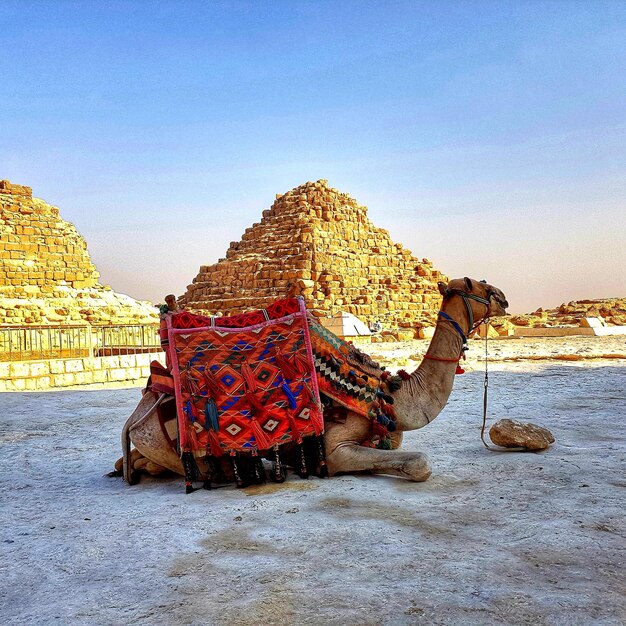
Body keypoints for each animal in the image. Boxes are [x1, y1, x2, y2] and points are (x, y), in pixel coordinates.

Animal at [118, 276, 508, 486]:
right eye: (474, 284)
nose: (503, 297)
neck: (390, 396)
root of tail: (136, 415)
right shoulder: (335, 449)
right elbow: (419, 464)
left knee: (130, 461)